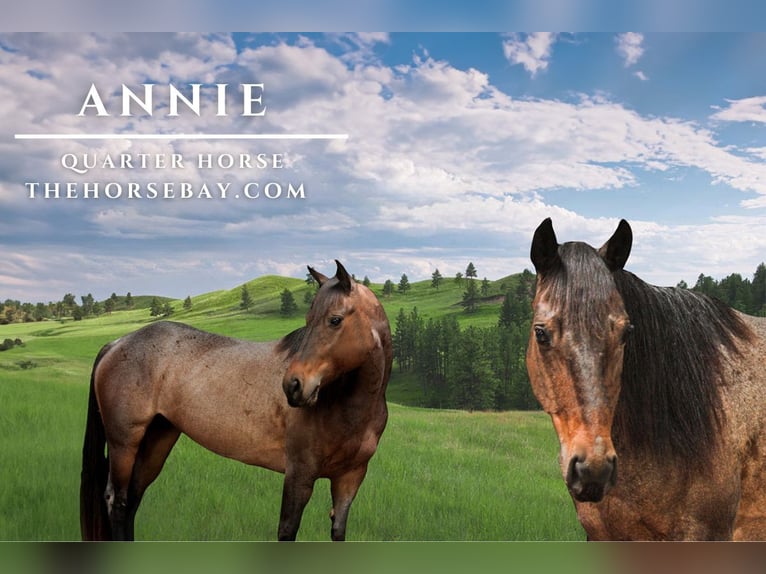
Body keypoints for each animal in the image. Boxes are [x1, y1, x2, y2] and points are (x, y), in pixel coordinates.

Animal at [80, 260, 392, 541]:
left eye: (335, 320)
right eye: (307, 321)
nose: (293, 385)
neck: (349, 409)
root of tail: (117, 343)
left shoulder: (350, 479)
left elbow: (338, 531)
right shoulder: (299, 474)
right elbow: (287, 531)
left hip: (157, 439)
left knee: (133, 499)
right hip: (124, 443)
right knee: (118, 501)